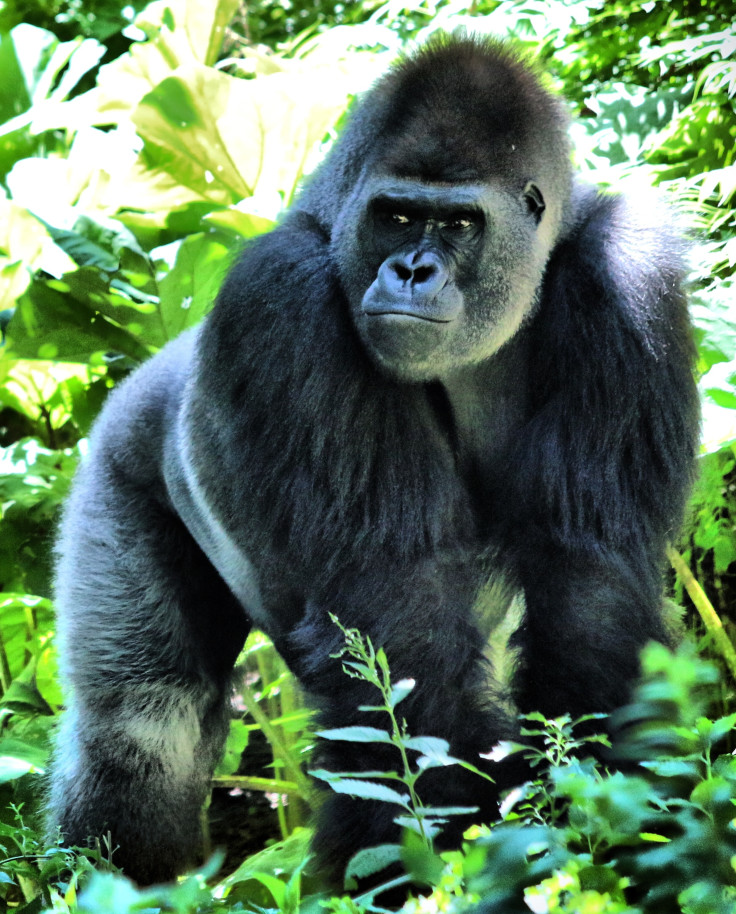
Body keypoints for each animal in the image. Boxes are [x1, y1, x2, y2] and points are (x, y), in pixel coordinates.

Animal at [49, 35, 700, 884]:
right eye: (395, 217)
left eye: (458, 223)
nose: (412, 270)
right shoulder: (280, 295)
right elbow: (399, 617)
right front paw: (429, 856)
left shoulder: (629, 271)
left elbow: (591, 575)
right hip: (116, 463)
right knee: (141, 724)